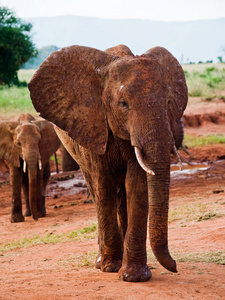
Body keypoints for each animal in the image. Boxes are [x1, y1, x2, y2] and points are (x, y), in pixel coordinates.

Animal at [28, 44, 188, 282]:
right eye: (123, 104)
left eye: (168, 103)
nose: (175, 266)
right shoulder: (92, 126)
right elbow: (104, 186)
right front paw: (111, 268)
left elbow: (137, 185)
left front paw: (135, 276)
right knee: (96, 190)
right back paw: (101, 261)